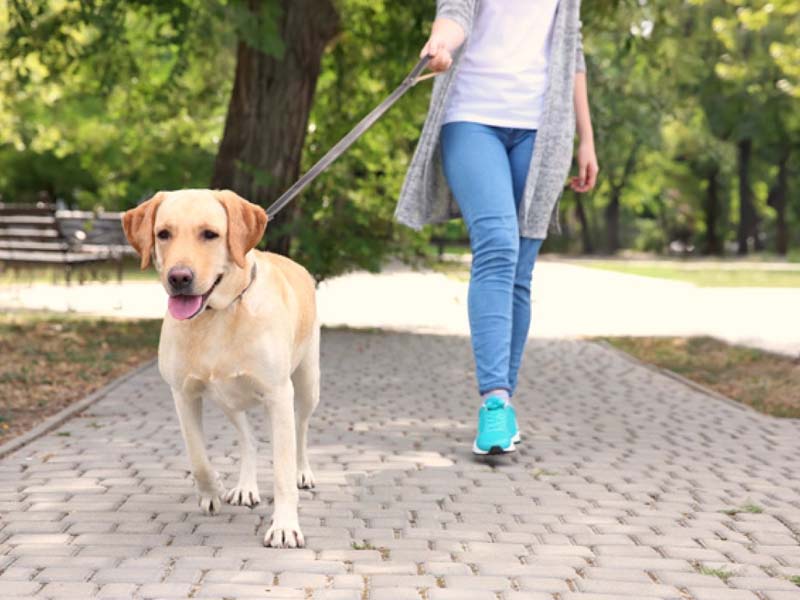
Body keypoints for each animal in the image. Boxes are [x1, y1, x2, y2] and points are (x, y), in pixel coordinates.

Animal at [122, 190, 318, 548]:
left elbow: (282, 470)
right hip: (227, 400)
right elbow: (197, 456)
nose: (179, 278)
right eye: (163, 234)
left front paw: (285, 526)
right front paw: (212, 490)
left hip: (308, 385)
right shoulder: (183, 394)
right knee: (248, 438)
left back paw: (303, 472)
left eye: (210, 234)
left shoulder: (278, 394)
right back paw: (245, 487)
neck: (218, 315)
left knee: (301, 429)